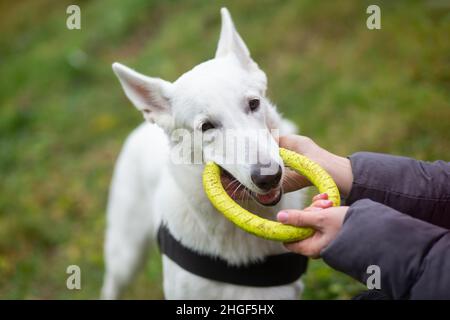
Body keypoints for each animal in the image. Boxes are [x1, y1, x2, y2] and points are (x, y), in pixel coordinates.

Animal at [101, 7, 306, 300]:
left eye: (254, 104)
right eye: (206, 126)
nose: (269, 177)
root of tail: (142, 126)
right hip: (124, 255)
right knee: (111, 282)